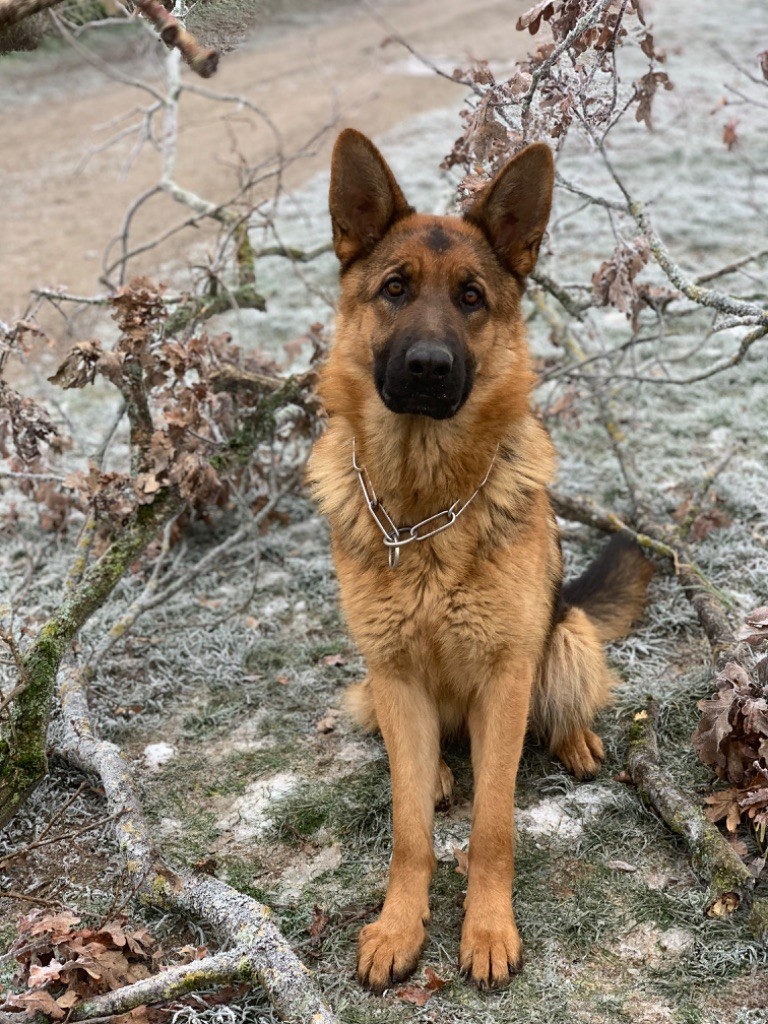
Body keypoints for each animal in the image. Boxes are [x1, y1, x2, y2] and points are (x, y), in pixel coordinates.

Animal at [303, 128, 651, 991]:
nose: (428, 366)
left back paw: (575, 740)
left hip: (564, 639)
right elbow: (408, 833)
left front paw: (488, 931)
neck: (426, 507)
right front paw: (400, 926)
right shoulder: (393, 673)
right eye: (395, 289)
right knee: (420, 764)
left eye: (470, 298)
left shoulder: (505, 677)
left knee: (561, 704)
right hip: (374, 692)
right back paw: (437, 774)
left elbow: (494, 825)